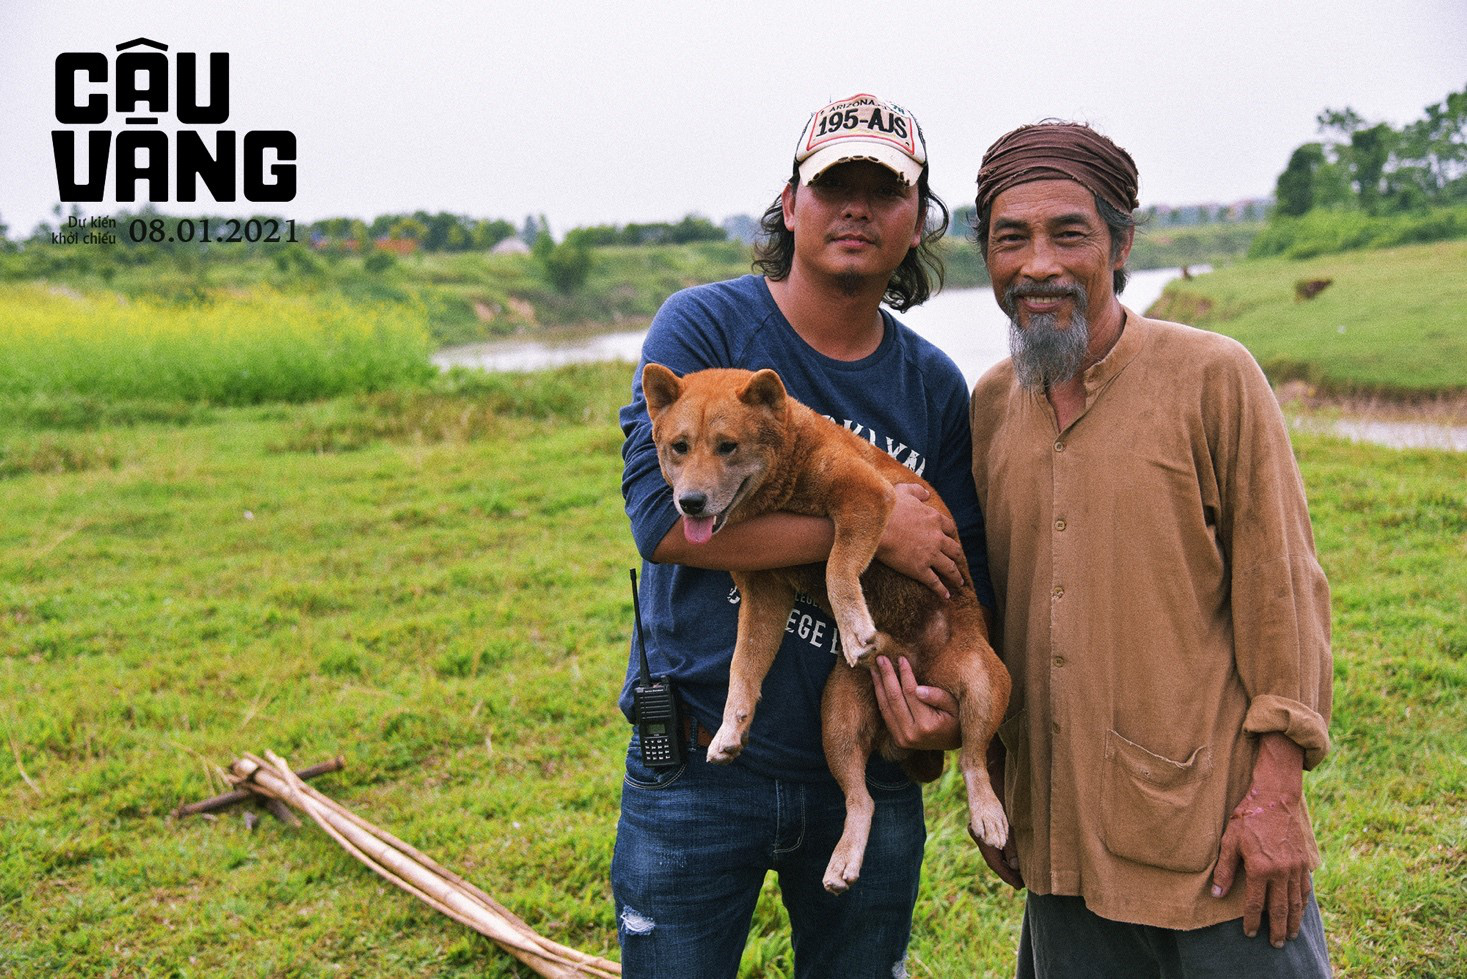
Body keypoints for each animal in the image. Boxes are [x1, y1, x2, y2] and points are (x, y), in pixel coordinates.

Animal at [642, 362, 1009, 898]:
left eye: (728, 446)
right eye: (679, 447)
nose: (690, 503)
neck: (787, 476)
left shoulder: (865, 497)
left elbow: (837, 566)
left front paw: (855, 627)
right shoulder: (765, 593)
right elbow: (742, 667)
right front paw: (731, 727)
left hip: (985, 682)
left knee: (974, 760)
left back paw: (988, 813)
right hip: (837, 719)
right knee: (862, 800)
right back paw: (844, 859)